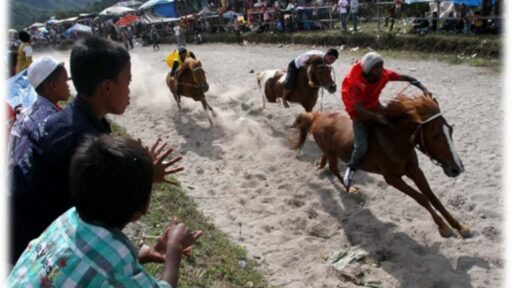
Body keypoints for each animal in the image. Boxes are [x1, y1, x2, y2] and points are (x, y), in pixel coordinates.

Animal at [290, 94, 470, 238]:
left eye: (451, 130)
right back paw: (349, 188)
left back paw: (321, 167)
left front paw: (460, 227)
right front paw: (443, 227)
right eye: (434, 136)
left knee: (327, 161)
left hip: (331, 150)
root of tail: (317, 116)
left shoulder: (415, 171)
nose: (457, 168)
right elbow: (422, 198)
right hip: (331, 152)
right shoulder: (392, 178)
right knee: (334, 168)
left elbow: (432, 197)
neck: (394, 140)